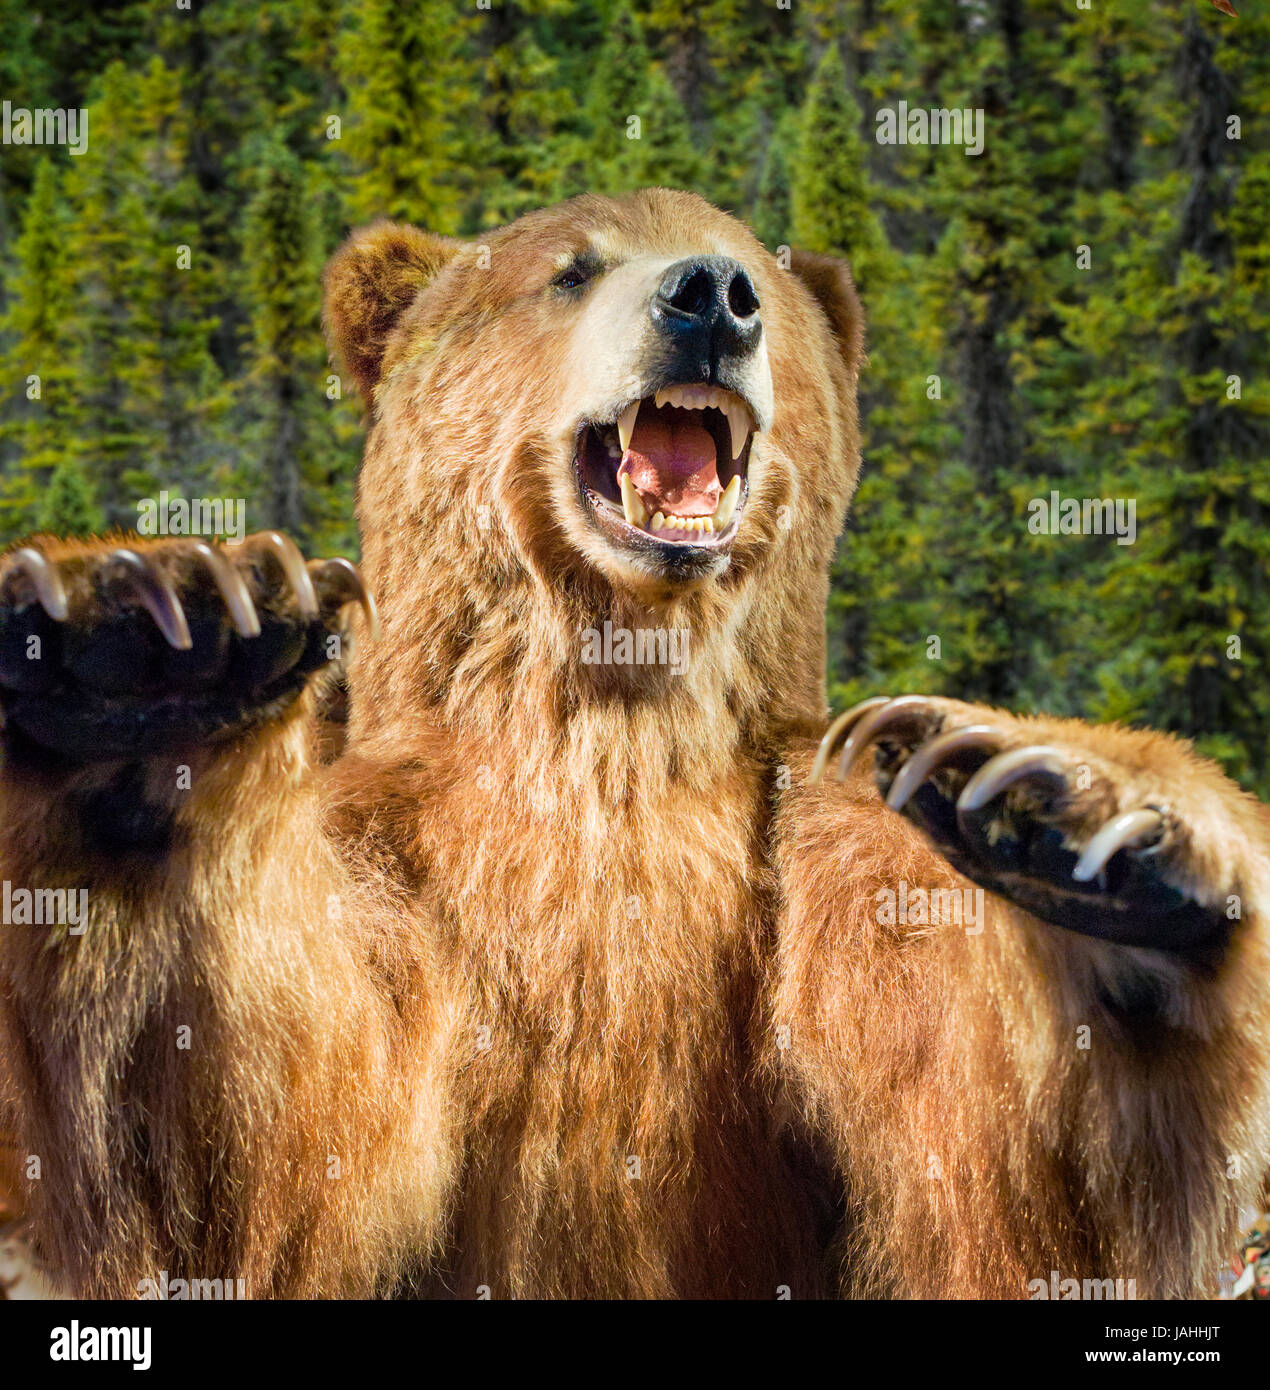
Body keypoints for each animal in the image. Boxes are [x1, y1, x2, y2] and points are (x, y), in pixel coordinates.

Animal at [2, 190, 1267, 1295]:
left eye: (748, 264)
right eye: (570, 267)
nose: (709, 295)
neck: (612, 723)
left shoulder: (793, 878)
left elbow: (993, 1157)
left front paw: (1072, 830)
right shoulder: (404, 858)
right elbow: (247, 1133)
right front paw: (153, 639)